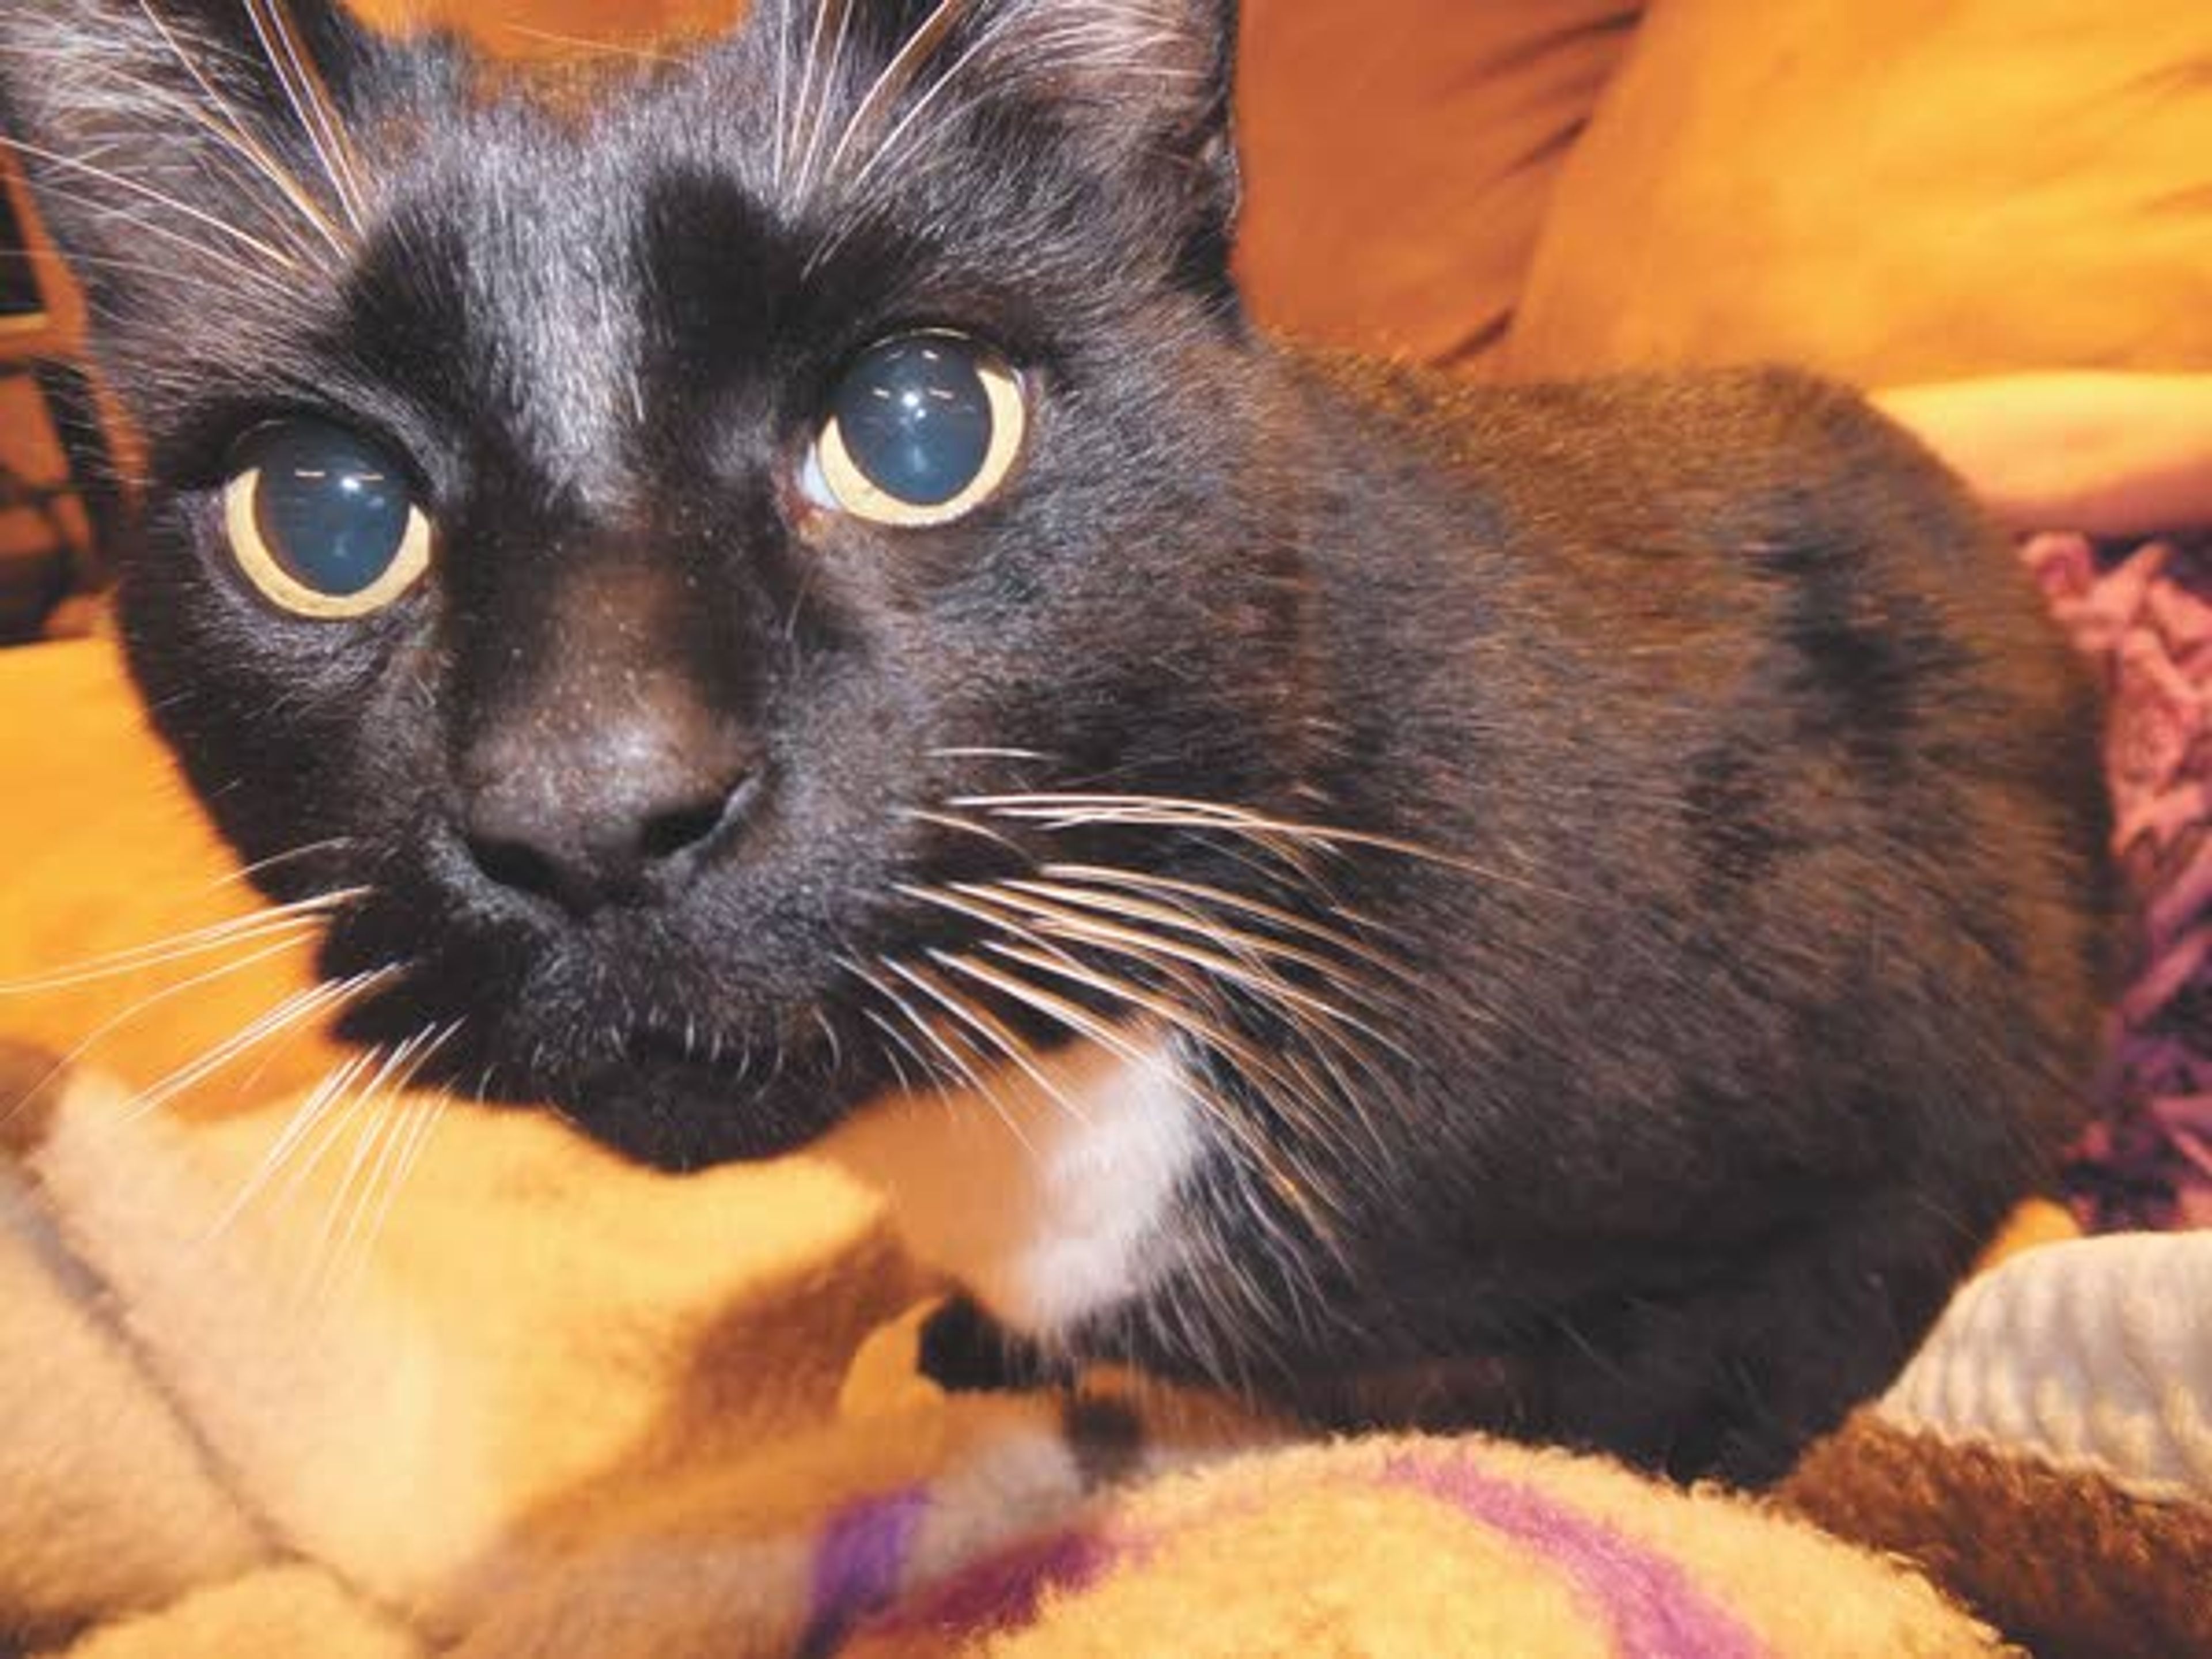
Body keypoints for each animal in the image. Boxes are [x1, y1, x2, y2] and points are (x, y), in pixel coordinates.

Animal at [0, 0, 2105, 1478]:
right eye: (325, 516)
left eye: (921, 425)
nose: (593, 800)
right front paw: (963, 1349)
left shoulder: (1855, 1161)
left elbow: (1677, 1403)